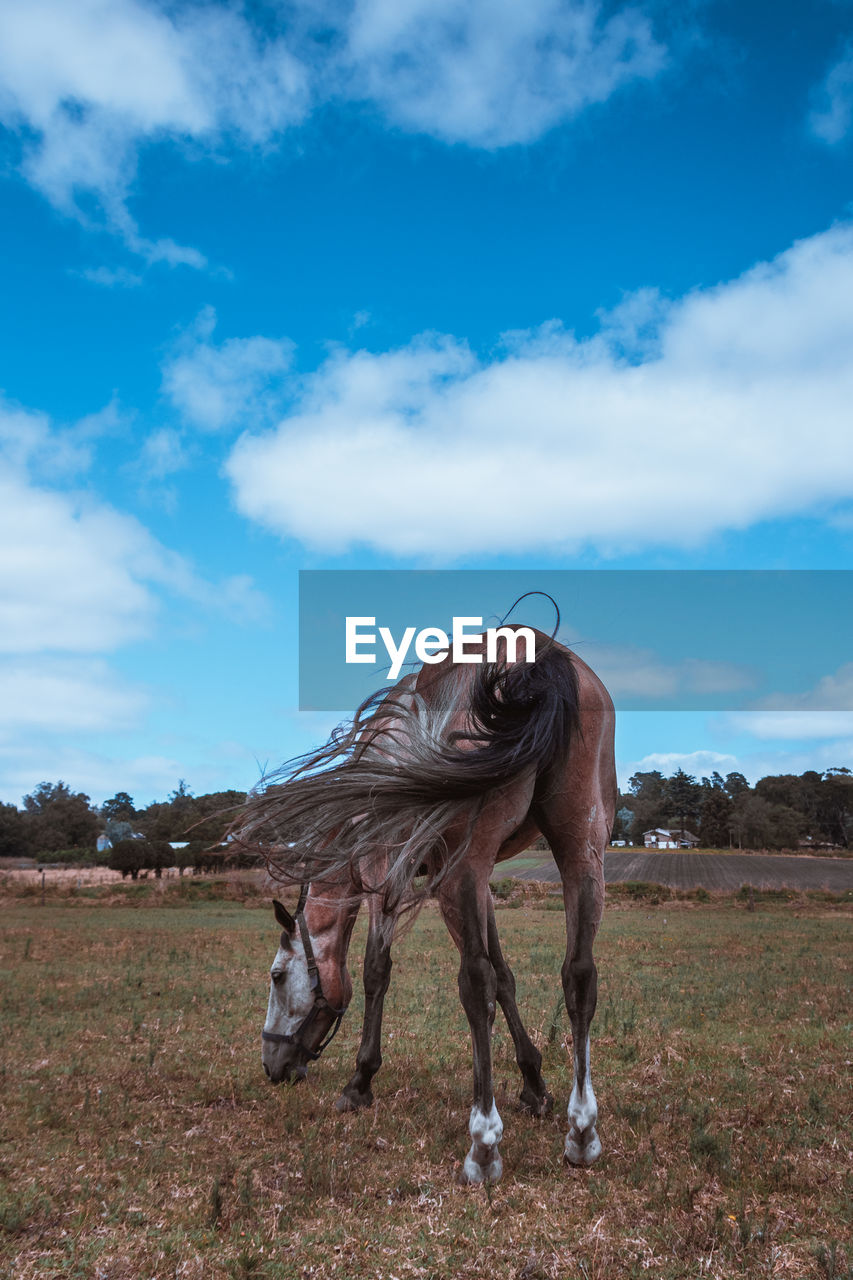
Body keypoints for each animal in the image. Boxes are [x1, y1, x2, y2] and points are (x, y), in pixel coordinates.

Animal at [235, 624, 614, 1182]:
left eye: (277, 977)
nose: (271, 1066)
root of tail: (536, 655)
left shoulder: (386, 872)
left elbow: (377, 970)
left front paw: (360, 1081)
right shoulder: (474, 879)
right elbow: (505, 975)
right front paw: (534, 1084)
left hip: (468, 867)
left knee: (474, 984)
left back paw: (483, 1143)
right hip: (577, 850)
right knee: (579, 975)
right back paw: (582, 1132)